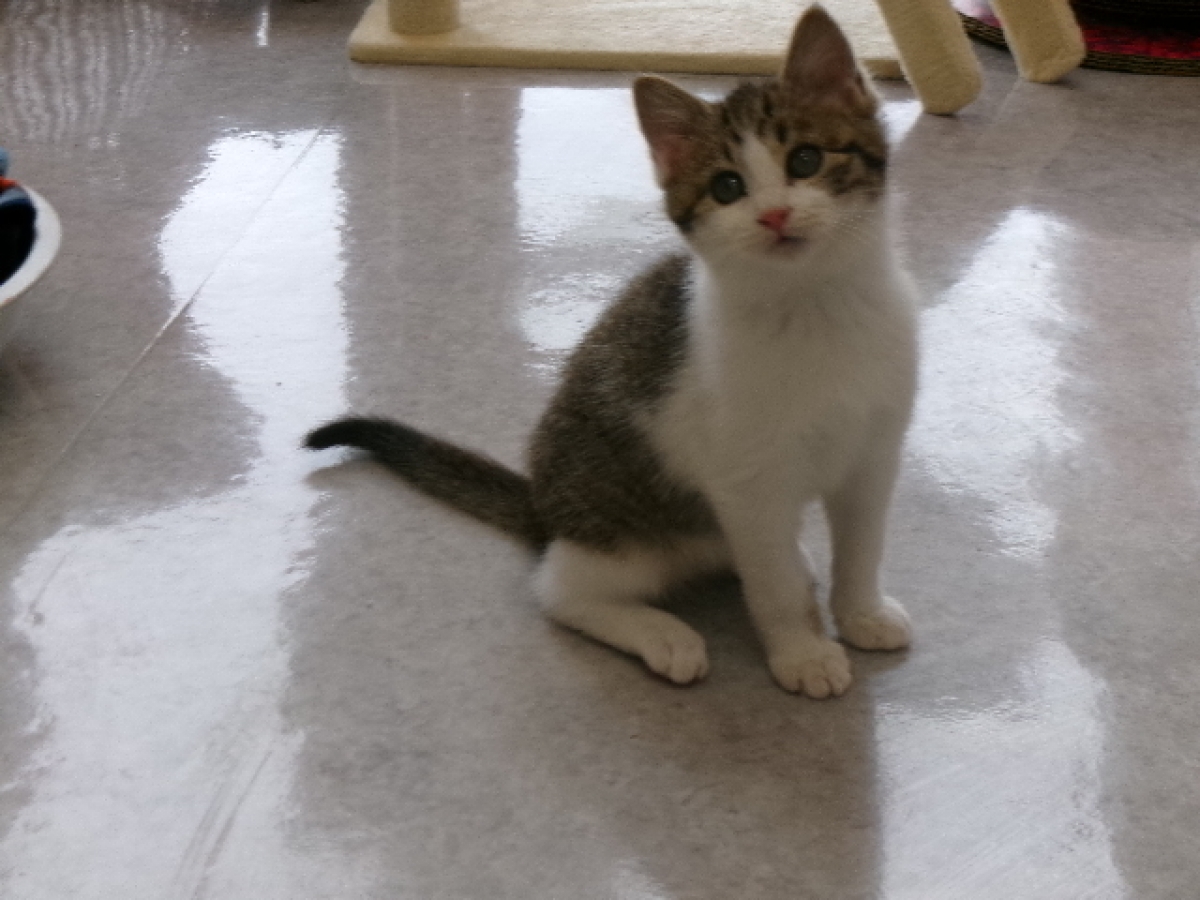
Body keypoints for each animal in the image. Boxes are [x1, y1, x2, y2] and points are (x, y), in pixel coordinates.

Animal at [306, 5, 919, 699]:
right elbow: (777, 585)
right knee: (560, 590)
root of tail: (544, 509)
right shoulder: (747, 479)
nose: (775, 215)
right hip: (624, 525)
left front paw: (861, 613)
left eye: (807, 159)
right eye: (728, 187)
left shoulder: (874, 452)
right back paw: (661, 633)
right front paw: (803, 651)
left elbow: (862, 547)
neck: (815, 308)